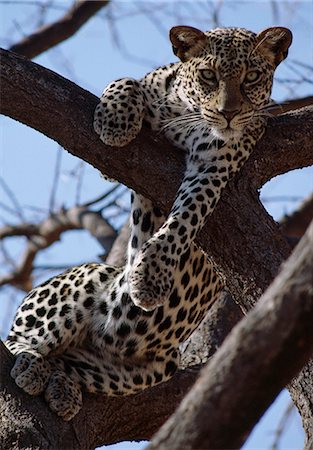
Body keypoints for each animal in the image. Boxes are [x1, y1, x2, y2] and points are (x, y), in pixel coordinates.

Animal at [4, 24, 292, 420]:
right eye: (208, 75)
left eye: (251, 77)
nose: (228, 114)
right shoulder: (117, 160)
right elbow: (128, 80)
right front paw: (115, 121)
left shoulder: (215, 164)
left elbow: (186, 217)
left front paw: (151, 277)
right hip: (89, 278)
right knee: (17, 340)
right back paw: (31, 363)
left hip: (151, 366)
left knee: (72, 363)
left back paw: (62, 387)